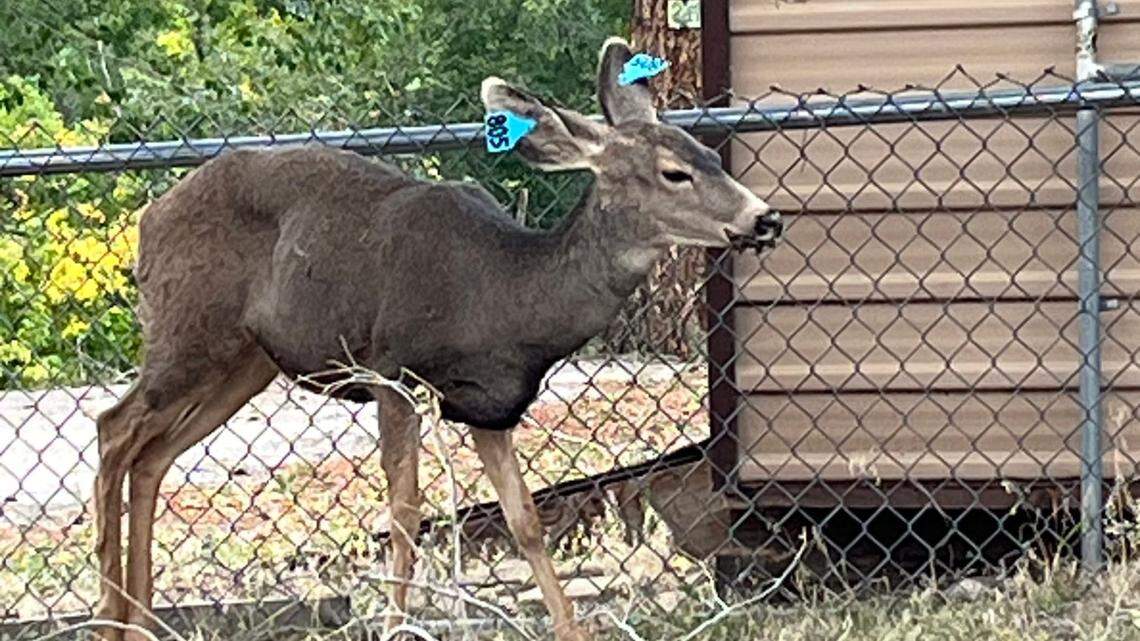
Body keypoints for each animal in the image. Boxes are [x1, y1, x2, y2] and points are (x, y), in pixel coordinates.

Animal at [90, 37, 782, 641]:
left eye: (713, 156)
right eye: (674, 173)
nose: (765, 218)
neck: (505, 295)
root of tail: (147, 221)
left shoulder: (490, 403)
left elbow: (525, 521)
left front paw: (570, 627)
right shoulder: (391, 371)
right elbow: (404, 516)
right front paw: (397, 626)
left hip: (244, 362)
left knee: (151, 455)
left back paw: (139, 623)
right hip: (189, 331)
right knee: (114, 429)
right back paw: (106, 619)